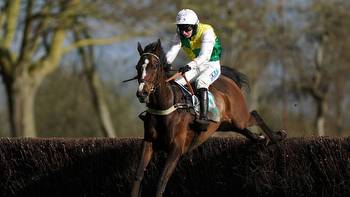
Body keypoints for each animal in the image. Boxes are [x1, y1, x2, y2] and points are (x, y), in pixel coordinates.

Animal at [130, 39, 286, 196]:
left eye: (154, 66)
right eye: (138, 66)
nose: (142, 93)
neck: (166, 107)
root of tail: (229, 80)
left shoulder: (176, 148)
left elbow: (162, 180)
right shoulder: (148, 142)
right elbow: (138, 176)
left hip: (239, 118)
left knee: (254, 115)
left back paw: (278, 136)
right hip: (225, 124)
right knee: (246, 132)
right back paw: (262, 138)